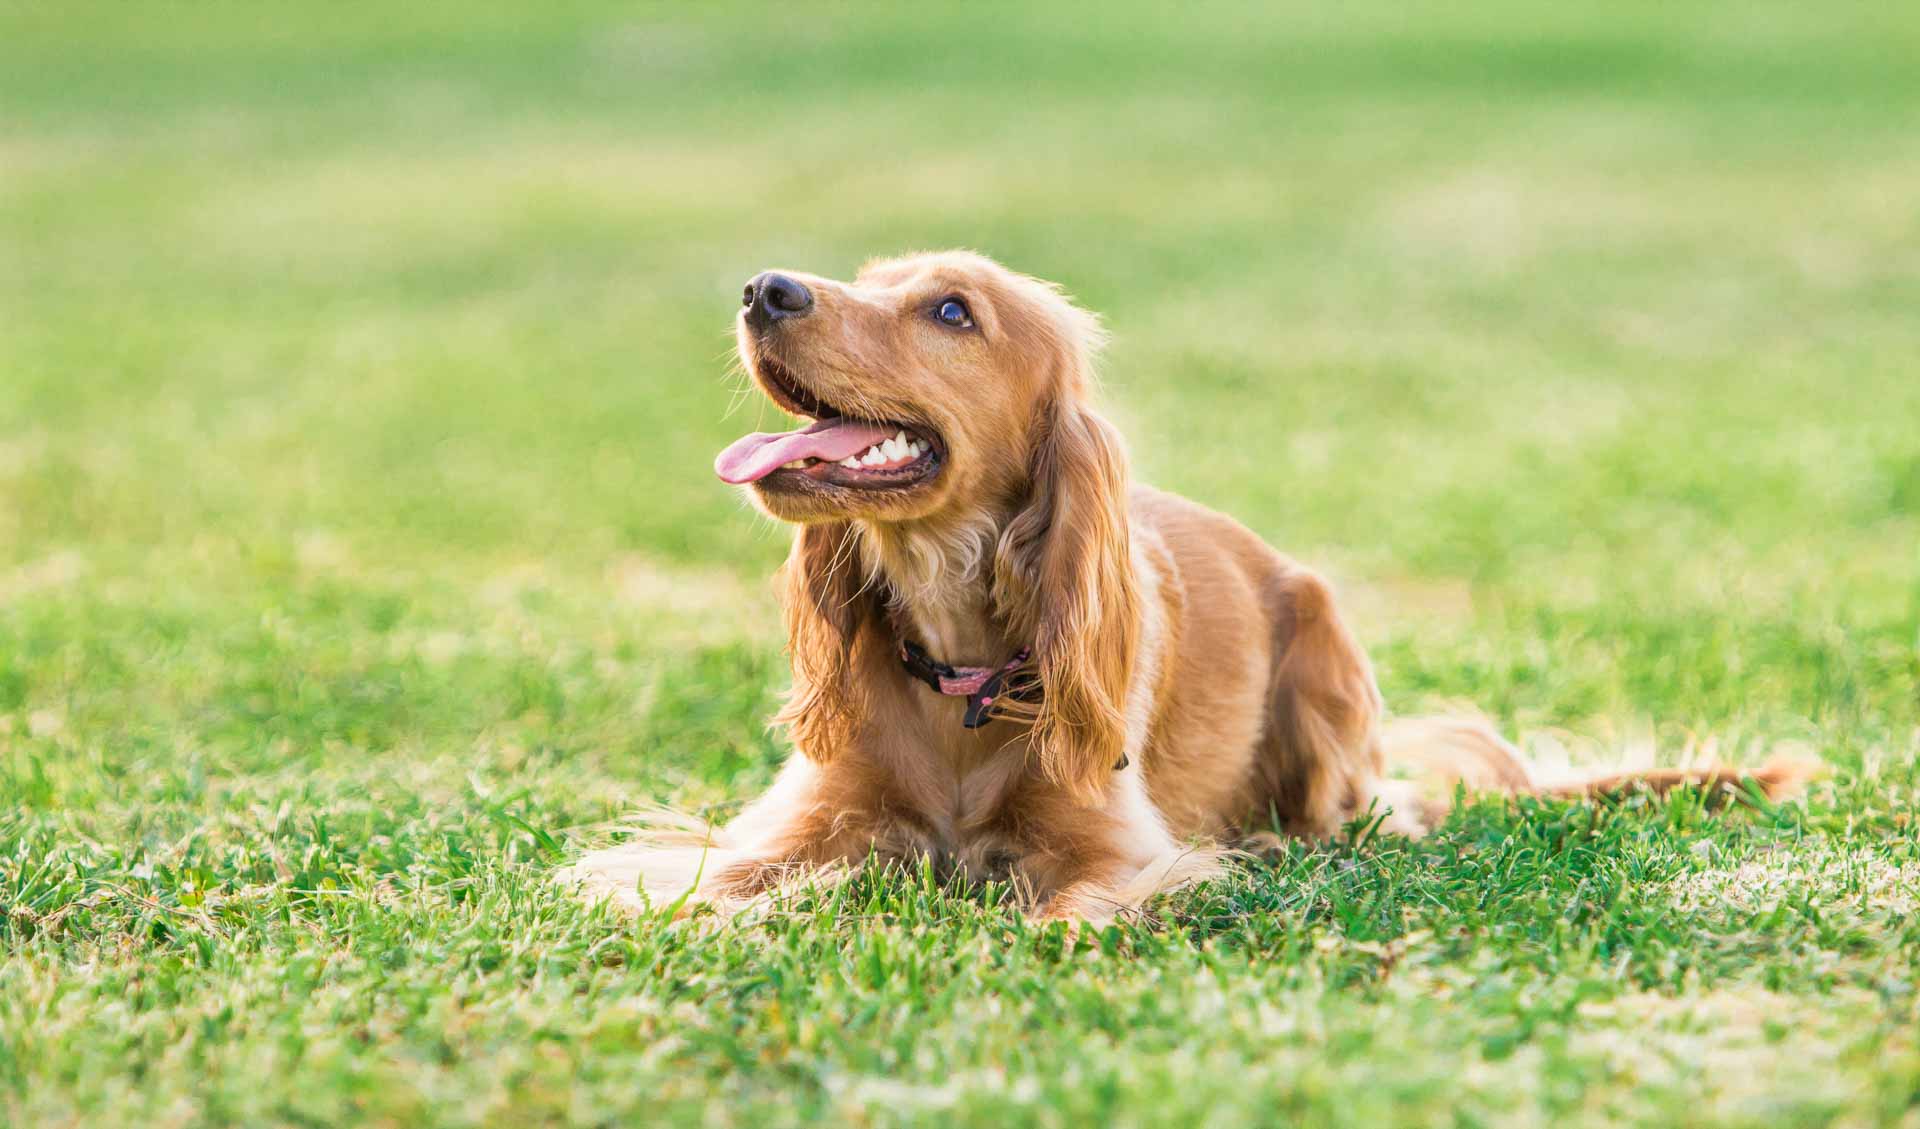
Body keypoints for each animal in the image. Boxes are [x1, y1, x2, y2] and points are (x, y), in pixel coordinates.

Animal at [560, 251, 1812, 921]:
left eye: (952, 311)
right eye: (868, 280)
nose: (764, 288)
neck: (959, 662)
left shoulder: (1123, 847)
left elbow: (1070, 907)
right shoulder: (798, 820)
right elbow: (705, 878)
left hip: (1328, 670)